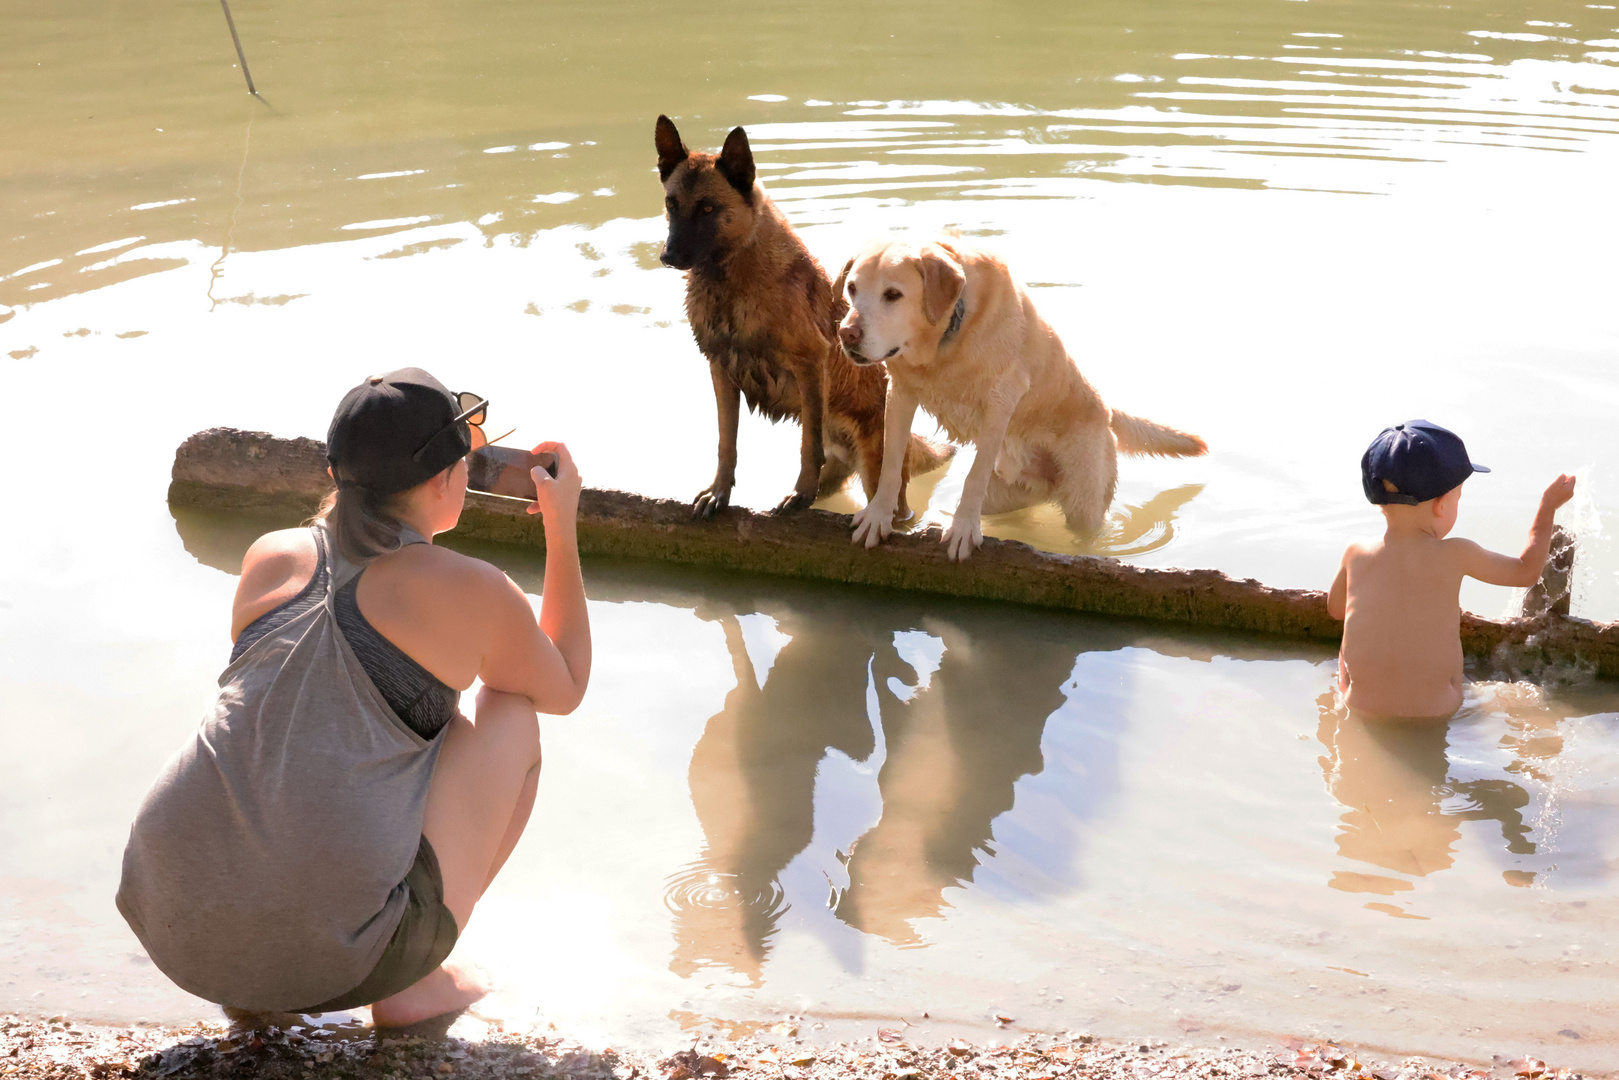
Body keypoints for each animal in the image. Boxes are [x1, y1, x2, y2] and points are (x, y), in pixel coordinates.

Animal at [650, 116, 945, 521]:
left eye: (708, 209)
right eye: (671, 204)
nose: (668, 256)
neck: (732, 282)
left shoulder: (809, 365)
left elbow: (808, 445)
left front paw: (799, 494)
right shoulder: (721, 371)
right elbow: (727, 443)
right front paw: (719, 493)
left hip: (879, 478)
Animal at [841, 239, 1211, 563]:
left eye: (893, 294)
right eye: (852, 289)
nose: (846, 333)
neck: (948, 337)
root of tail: (1106, 409)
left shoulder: (1001, 400)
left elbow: (973, 475)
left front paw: (962, 529)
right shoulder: (900, 394)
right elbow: (890, 463)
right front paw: (877, 516)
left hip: (1084, 503)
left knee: (1087, 533)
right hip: (1004, 496)